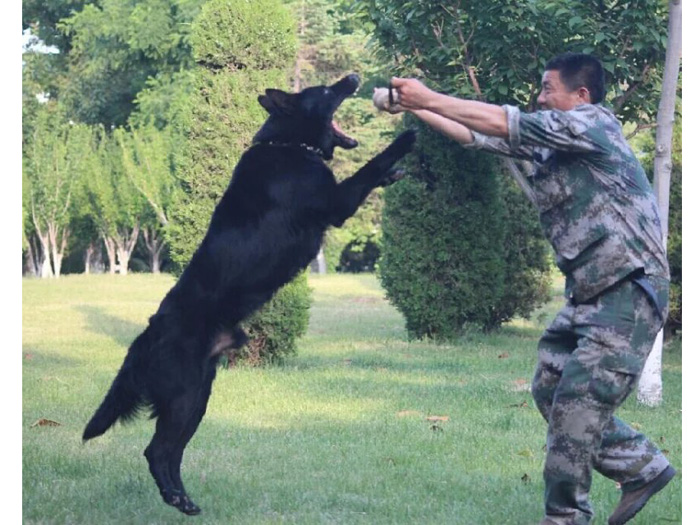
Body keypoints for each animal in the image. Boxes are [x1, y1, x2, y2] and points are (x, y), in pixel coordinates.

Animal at [83, 74, 416, 516]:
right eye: (328, 92)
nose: (352, 78)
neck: (289, 146)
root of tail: (145, 337)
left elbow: (374, 171)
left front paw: (396, 169)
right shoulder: (337, 203)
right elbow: (369, 166)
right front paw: (405, 139)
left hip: (198, 397)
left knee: (169, 452)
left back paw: (183, 499)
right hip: (185, 396)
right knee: (157, 451)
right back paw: (176, 499)